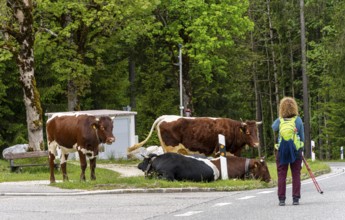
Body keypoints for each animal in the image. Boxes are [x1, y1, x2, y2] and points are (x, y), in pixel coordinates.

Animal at [127, 115, 260, 156]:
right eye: (248, 132)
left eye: (257, 132)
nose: (257, 144)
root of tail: (165, 117)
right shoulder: (218, 150)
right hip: (171, 148)